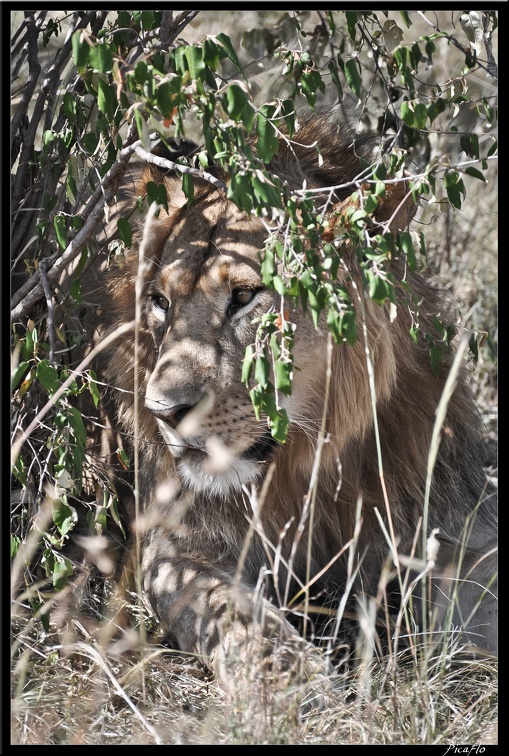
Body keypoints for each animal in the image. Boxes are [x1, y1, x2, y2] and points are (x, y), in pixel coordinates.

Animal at [90, 113, 496, 692]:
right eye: (161, 303)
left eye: (244, 296)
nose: (163, 411)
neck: (308, 461)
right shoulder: (175, 545)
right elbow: (232, 612)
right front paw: (295, 686)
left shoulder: (448, 524)